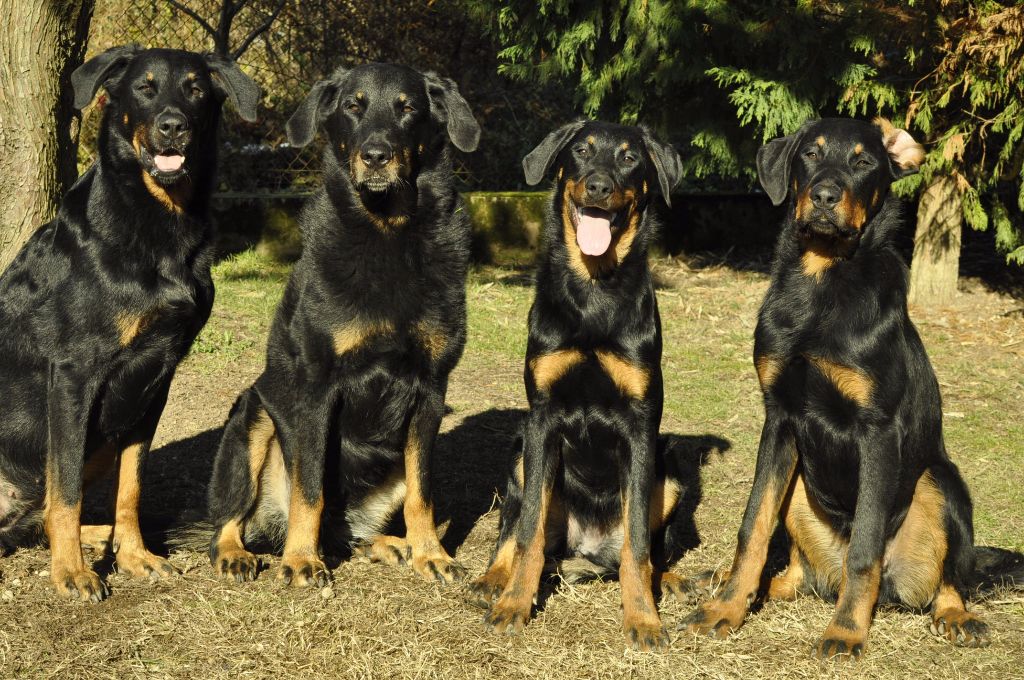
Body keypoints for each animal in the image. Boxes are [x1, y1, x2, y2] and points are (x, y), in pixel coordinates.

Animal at [0, 45, 260, 602]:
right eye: (144, 87)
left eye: (196, 89)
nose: (173, 127)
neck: (159, 224)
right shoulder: (73, 375)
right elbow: (66, 490)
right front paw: (71, 572)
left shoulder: (154, 378)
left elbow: (130, 485)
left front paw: (135, 555)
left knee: (40, 514)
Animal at [207, 62, 483, 585]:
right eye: (353, 106)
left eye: (408, 108)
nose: (375, 156)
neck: (388, 230)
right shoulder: (318, 386)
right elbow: (310, 488)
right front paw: (300, 560)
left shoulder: (431, 389)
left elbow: (423, 492)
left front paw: (431, 553)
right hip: (252, 419)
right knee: (232, 516)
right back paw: (238, 552)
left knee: (351, 531)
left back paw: (390, 544)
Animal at [468, 120, 684, 647]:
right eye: (581, 151)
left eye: (629, 158)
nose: (599, 187)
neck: (594, 289)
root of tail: (586, 549)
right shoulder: (542, 418)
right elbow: (526, 533)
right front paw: (514, 603)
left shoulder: (641, 425)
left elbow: (637, 546)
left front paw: (643, 617)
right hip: (520, 452)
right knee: (515, 530)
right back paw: (493, 579)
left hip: (670, 469)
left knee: (648, 548)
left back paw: (669, 578)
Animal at [679, 118, 1024, 659]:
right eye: (810, 154)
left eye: (863, 162)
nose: (823, 196)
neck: (821, 282)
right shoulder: (778, 419)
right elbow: (753, 526)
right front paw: (727, 609)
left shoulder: (877, 430)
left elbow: (865, 547)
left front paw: (844, 631)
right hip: (802, 490)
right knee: (796, 572)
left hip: (940, 481)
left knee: (947, 577)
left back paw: (954, 616)